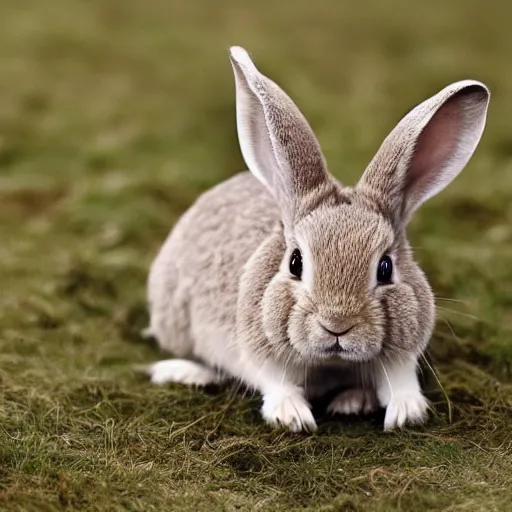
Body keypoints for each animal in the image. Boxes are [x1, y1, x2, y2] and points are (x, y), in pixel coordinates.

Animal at [143, 47, 488, 432]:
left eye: (385, 268)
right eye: (296, 262)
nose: (337, 326)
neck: (331, 363)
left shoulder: (403, 350)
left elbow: (399, 380)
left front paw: (404, 412)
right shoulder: (260, 349)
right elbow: (276, 382)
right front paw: (293, 416)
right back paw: (184, 371)